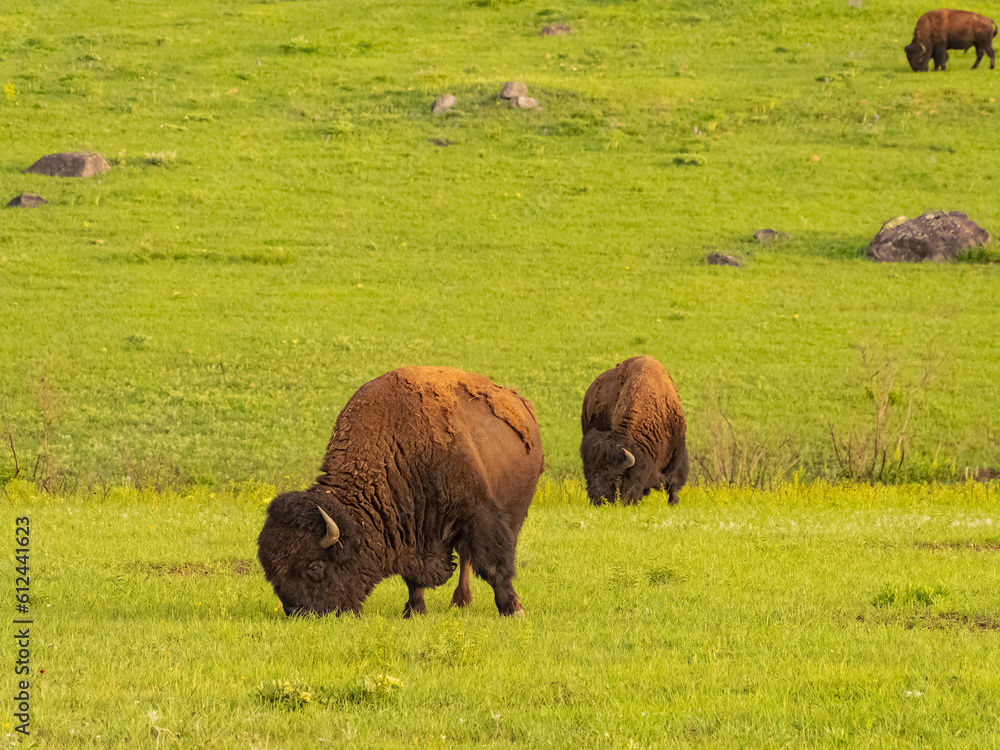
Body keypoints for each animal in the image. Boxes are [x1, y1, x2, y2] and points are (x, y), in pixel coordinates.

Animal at [254, 368, 544, 620]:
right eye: (272, 573)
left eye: (314, 567)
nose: (300, 613)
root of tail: (521, 404)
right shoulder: (411, 531)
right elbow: (413, 578)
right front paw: (414, 611)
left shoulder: (477, 513)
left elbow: (494, 566)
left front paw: (513, 610)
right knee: (465, 555)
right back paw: (460, 603)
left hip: (514, 514)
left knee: (472, 556)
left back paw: (463, 601)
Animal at [580, 356, 688, 508]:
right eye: (588, 476)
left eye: (616, 478)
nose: (599, 503)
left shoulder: (678, 451)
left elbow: (674, 482)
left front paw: (673, 503)